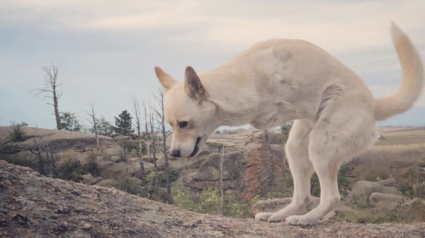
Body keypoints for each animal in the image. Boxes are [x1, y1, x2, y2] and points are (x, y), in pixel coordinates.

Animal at [153, 23, 420, 226]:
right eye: (171, 125)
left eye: (184, 123)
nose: (173, 153)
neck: (245, 79)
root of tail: (374, 103)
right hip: (296, 148)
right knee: (302, 196)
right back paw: (279, 215)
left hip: (320, 145)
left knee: (331, 198)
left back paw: (306, 220)